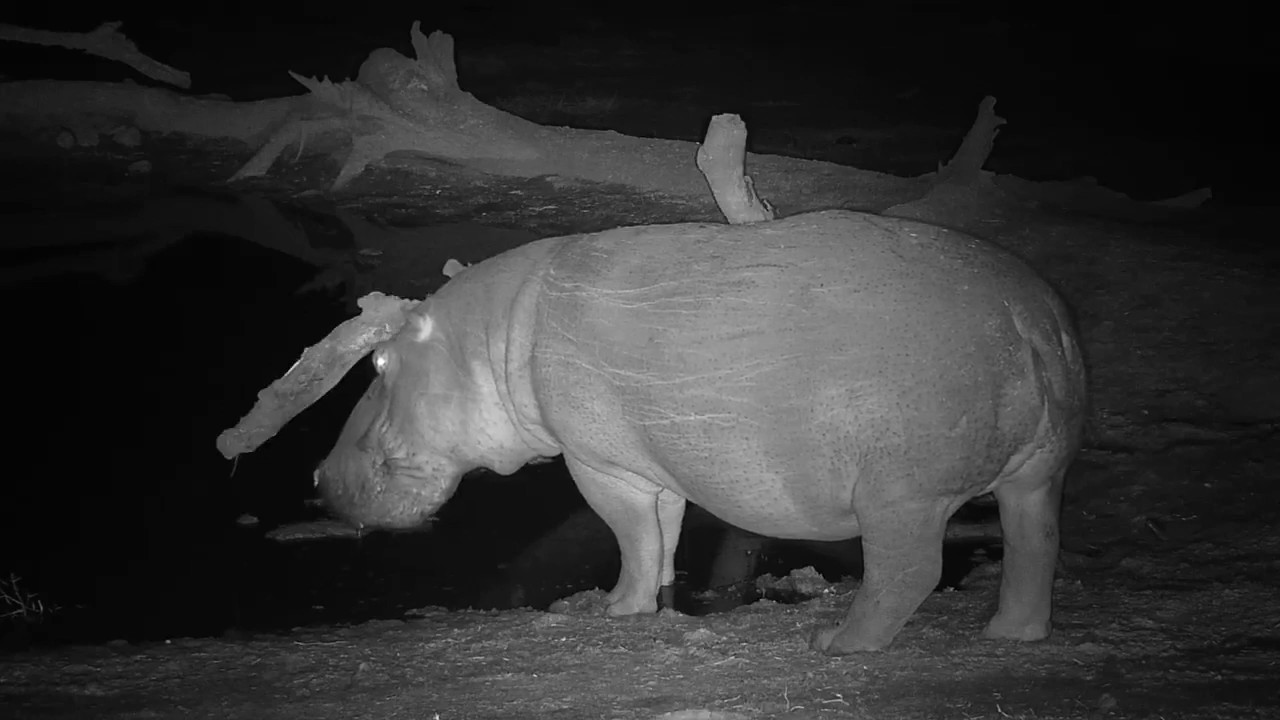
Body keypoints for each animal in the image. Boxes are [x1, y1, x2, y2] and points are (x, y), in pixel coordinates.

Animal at [314, 209, 1087, 654]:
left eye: (377, 363)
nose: (318, 474)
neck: (488, 335)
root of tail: (1031, 318)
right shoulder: (652, 460)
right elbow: (663, 534)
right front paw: (655, 601)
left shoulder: (598, 463)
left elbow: (628, 534)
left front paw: (614, 610)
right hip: (1037, 473)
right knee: (1035, 545)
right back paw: (1010, 634)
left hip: (900, 492)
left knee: (909, 570)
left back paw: (836, 643)